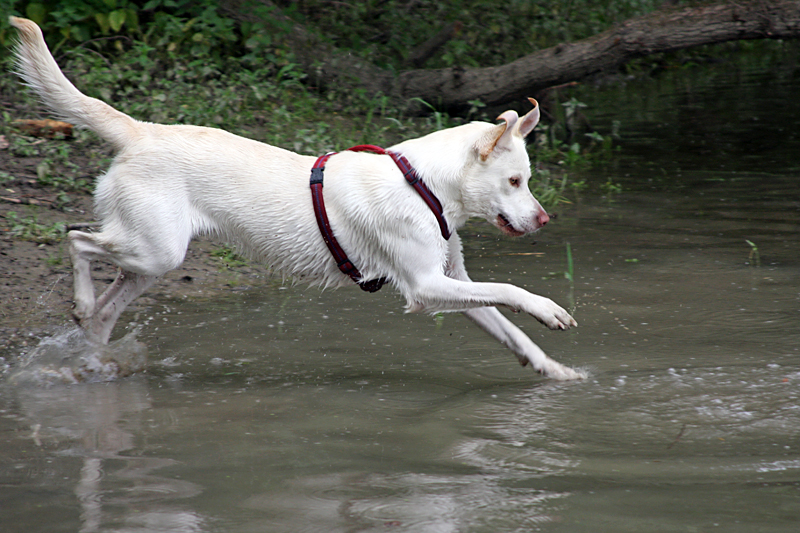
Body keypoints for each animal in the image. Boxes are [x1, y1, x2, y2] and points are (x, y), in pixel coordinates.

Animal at [10, 16, 588, 380]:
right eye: (515, 182)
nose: (543, 219)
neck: (423, 184)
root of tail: (139, 131)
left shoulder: (453, 282)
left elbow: (511, 331)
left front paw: (556, 370)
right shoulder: (425, 287)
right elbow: (511, 289)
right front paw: (549, 308)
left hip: (152, 261)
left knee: (102, 312)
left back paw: (93, 353)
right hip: (154, 251)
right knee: (77, 241)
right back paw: (82, 305)